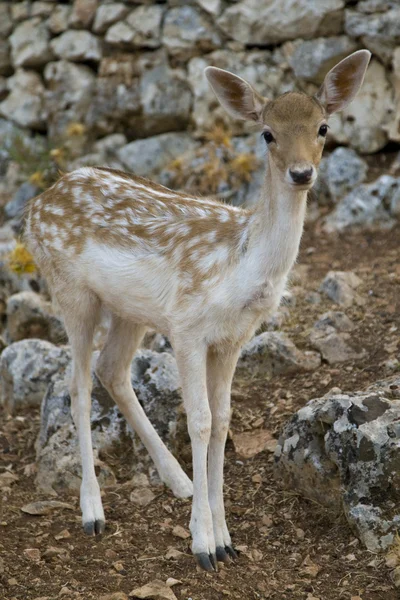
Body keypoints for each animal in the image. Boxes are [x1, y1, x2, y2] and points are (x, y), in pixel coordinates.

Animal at [23, 50, 370, 572]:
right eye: (267, 133)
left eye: (323, 127)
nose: (301, 173)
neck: (240, 268)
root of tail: (34, 207)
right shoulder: (187, 327)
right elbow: (200, 421)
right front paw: (203, 544)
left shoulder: (233, 338)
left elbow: (224, 419)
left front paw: (226, 538)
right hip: (70, 290)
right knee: (77, 387)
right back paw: (93, 511)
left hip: (131, 311)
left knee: (112, 369)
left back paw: (179, 481)